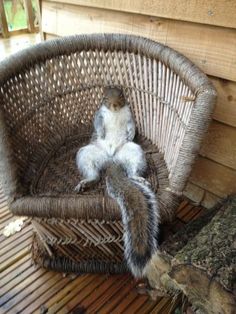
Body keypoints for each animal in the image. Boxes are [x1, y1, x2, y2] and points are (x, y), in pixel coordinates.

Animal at [75, 86, 159, 278]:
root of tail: (112, 161)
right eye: (105, 97)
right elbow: (97, 123)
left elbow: (132, 125)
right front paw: (102, 132)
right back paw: (87, 181)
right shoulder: (99, 114)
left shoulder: (130, 115)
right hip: (87, 153)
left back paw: (137, 177)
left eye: (120, 94)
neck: (115, 112)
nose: (113, 104)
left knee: (131, 170)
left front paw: (131, 133)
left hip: (133, 152)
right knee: (94, 175)